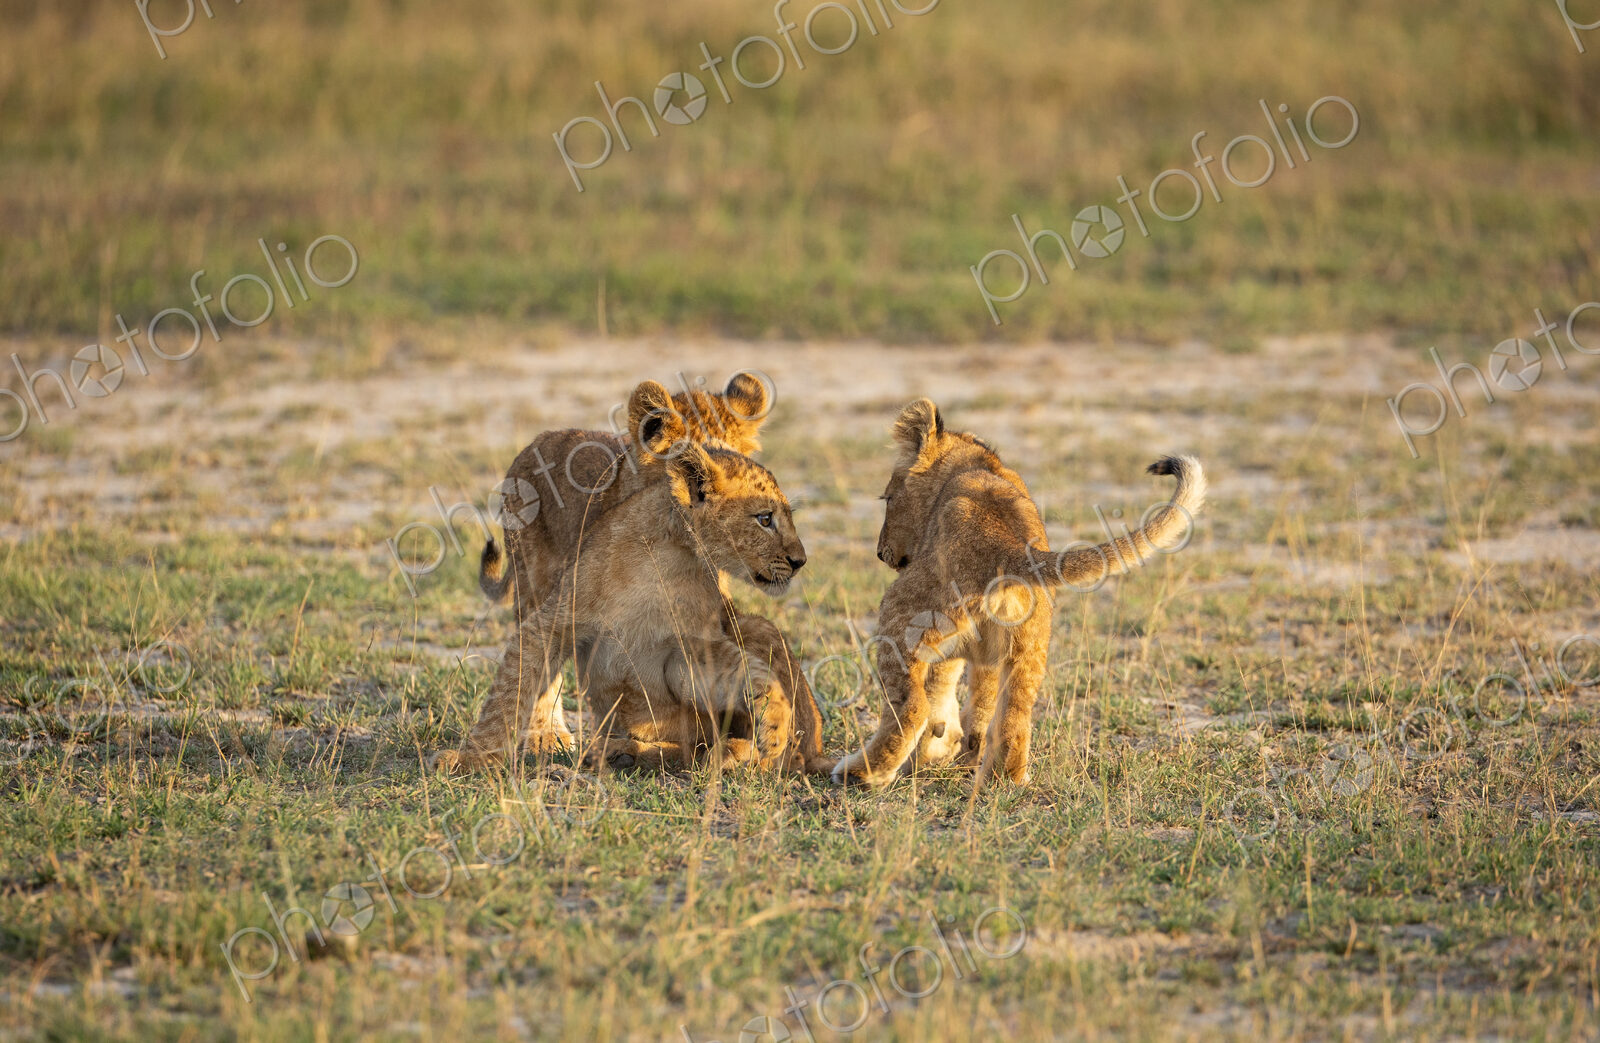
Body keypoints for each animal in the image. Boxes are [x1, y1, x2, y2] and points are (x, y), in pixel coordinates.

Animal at [832, 399, 1206, 788]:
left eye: (888, 498)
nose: (880, 553)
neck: (972, 465)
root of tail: (1006, 547)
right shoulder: (981, 654)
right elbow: (973, 698)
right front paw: (950, 748)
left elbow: (939, 693)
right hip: (1030, 644)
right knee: (1015, 715)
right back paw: (1004, 779)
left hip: (898, 612)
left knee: (911, 707)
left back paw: (860, 773)